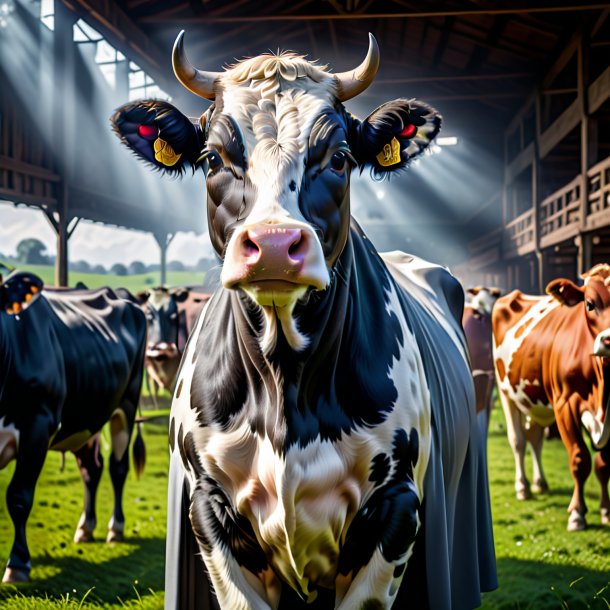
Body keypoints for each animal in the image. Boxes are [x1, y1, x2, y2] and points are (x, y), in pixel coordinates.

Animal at [0, 270, 147, 580]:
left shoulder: (37, 425)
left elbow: (19, 496)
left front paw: (18, 564)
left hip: (126, 405)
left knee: (117, 468)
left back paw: (115, 529)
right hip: (87, 416)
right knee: (91, 469)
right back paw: (85, 528)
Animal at [113, 32, 494, 608]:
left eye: (338, 158)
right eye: (212, 158)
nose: (273, 245)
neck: (284, 377)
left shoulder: (398, 509)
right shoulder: (209, 507)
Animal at [490, 264, 608, 528]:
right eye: (590, 303)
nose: (609, 340)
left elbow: (603, 463)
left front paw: (606, 511)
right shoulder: (565, 404)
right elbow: (580, 458)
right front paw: (577, 513)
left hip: (535, 401)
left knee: (535, 438)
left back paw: (540, 483)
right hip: (506, 393)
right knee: (518, 440)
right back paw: (523, 487)